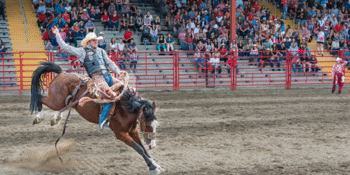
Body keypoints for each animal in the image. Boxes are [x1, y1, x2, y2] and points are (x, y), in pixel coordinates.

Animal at [29, 61, 164, 175]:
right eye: (147, 125)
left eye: (156, 125)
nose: (153, 145)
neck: (126, 107)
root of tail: (62, 73)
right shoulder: (120, 134)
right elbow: (139, 148)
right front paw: (153, 167)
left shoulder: (133, 131)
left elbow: (142, 147)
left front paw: (155, 164)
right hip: (55, 101)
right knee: (40, 99)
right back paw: (39, 117)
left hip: (62, 101)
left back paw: (56, 118)